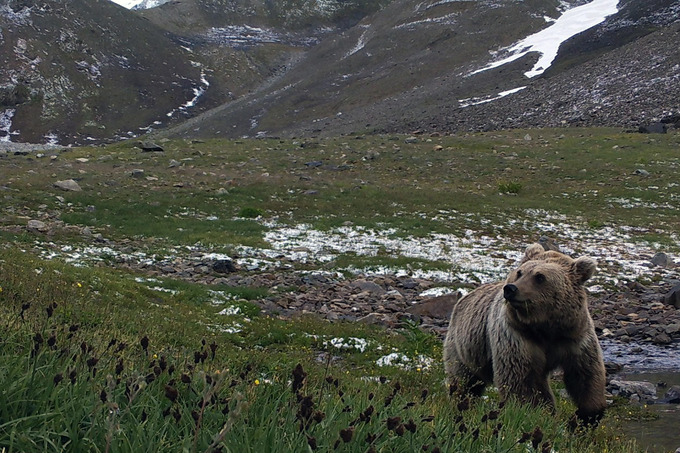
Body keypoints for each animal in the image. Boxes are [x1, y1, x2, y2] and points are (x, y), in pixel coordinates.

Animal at [443, 243, 606, 426]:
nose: (511, 289)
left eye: (540, 277)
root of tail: (465, 297)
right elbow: (520, 380)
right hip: (464, 347)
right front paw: (536, 413)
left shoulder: (575, 338)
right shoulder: (517, 337)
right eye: (520, 272)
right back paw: (461, 402)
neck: (545, 327)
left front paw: (586, 416)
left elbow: (585, 374)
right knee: (464, 380)